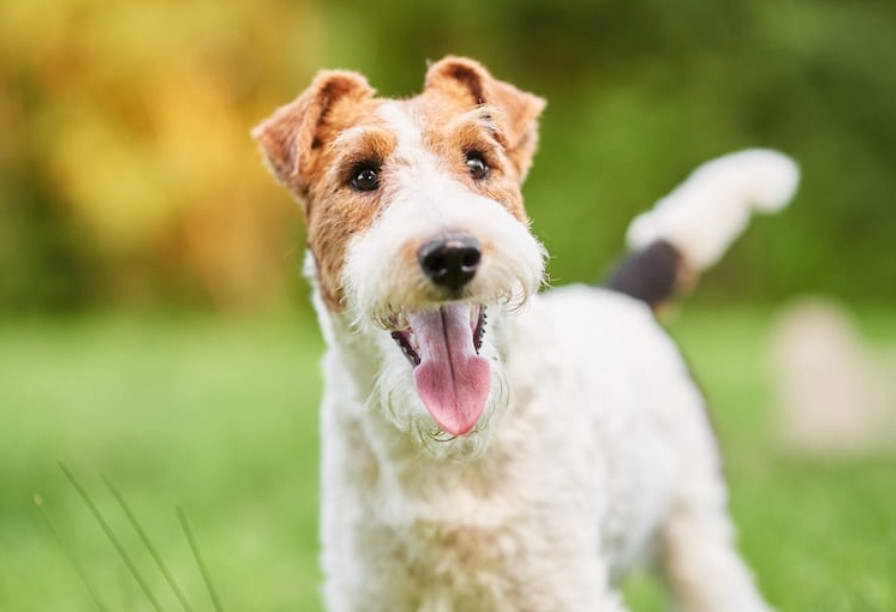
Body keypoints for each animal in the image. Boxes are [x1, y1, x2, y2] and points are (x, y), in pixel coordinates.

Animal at [252, 57, 800, 612]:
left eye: (477, 162)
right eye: (362, 174)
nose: (452, 254)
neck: (450, 452)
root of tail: (621, 297)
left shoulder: (559, 583)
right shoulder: (367, 588)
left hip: (694, 533)